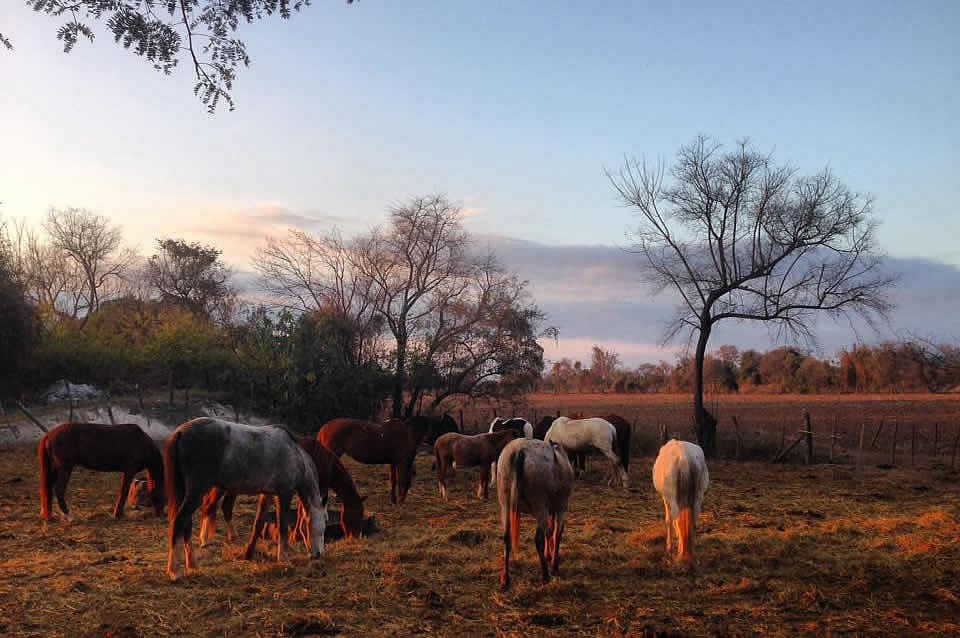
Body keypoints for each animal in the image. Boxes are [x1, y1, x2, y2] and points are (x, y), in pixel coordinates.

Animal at [165, 418, 330, 584]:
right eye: (323, 526)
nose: (318, 555)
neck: (295, 455)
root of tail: (181, 432)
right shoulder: (284, 494)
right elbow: (282, 526)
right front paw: (283, 558)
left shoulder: (267, 494)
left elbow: (258, 523)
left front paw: (248, 554)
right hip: (196, 492)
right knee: (179, 521)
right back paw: (175, 571)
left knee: (186, 524)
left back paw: (192, 565)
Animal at [199, 438, 368, 552]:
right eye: (358, 515)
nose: (357, 537)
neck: (323, 462)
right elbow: (303, 512)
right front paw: (297, 536)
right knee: (209, 506)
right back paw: (204, 540)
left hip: (232, 488)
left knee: (225, 507)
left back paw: (231, 537)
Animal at [498, 438, 572, 592]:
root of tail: (519, 451)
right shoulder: (561, 507)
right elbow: (556, 533)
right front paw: (554, 565)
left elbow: (549, 532)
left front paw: (549, 556)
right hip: (540, 507)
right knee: (538, 539)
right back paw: (545, 575)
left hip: (505, 505)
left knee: (506, 539)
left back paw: (505, 578)